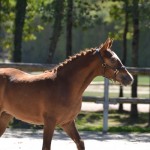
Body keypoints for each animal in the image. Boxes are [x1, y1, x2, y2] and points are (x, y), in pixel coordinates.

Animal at [0, 38, 134, 149]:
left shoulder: (67, 122)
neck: (65, 85)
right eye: (113, 60)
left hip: (5, 116)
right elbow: (46, 147)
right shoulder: (50, 122)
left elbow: (80, 143)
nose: (129, 78)